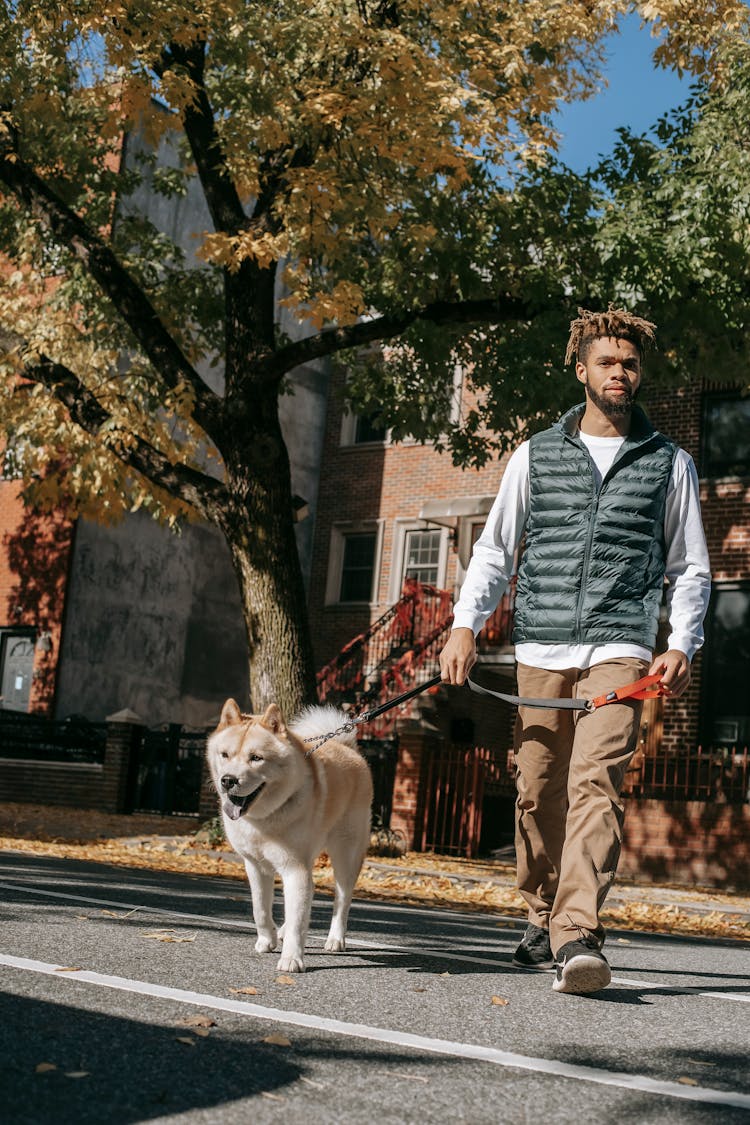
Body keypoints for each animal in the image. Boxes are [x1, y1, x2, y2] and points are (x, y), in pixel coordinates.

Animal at [206, 697, 373, 972]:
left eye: (256, 758)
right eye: (225, 755)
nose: (228, 780)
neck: (264, 820)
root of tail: (347, 747)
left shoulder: (295, 870)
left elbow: (297, 921)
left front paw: (292, 959)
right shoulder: (255, 866)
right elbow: (261, 909)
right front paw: (267, 940)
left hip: (346, 857)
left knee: (342, 900)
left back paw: (335, 939)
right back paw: (282, 932)